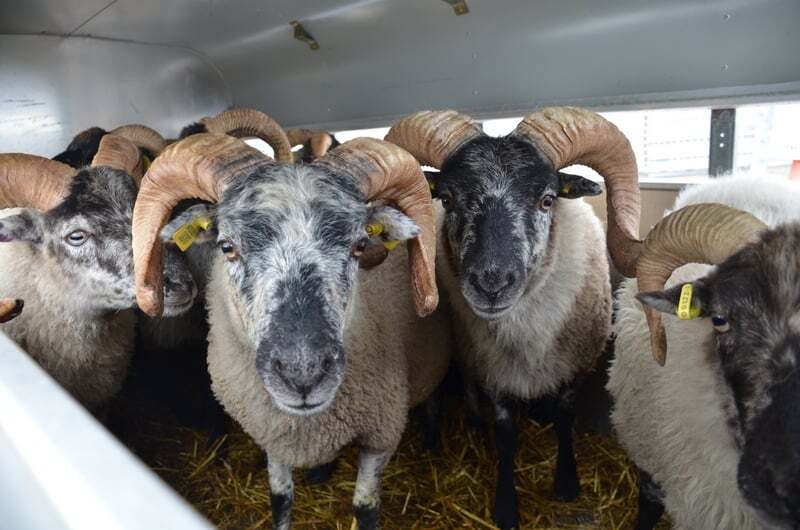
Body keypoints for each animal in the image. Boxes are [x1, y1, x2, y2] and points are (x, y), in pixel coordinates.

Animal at [134, 131, 454, 524]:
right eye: (227, 246)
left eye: (360, 245)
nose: (303, 373)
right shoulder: (272, 435)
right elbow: (280, 500)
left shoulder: (382, 435)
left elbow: (365, 508)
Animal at [384, 105, 640, 524]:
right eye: (448, 199)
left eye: (548, 200)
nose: (491, 283)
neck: (524, 330)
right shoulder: (495, 372)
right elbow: (506, 435)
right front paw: (505, 506)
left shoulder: (572, 366)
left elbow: (565, 418)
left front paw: (566, 483)